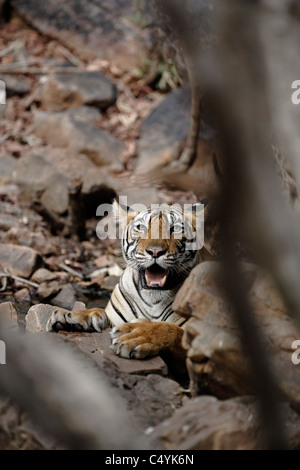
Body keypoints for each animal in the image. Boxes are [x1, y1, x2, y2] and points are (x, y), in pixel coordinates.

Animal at [46, 198, 209, 378]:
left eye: (175, 229)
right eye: (141, 227)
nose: (155, 251)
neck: (153, 298)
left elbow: (170, 330)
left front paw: (138, 336)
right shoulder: (115, 317)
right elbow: (97, 311)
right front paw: (70, 316)